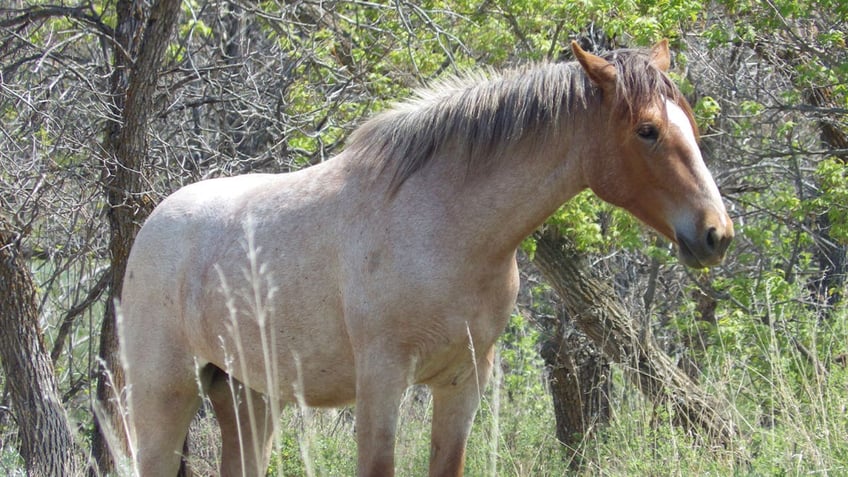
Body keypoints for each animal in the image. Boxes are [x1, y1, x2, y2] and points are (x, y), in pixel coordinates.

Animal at [121, 40, 736, 472]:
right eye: (647, 130)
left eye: (688, 123)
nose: (716, 234)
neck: (447, 226)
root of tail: (155, 223)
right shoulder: (383, 383)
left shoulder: (462, 382)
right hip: (163, 399)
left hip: (249, 399)